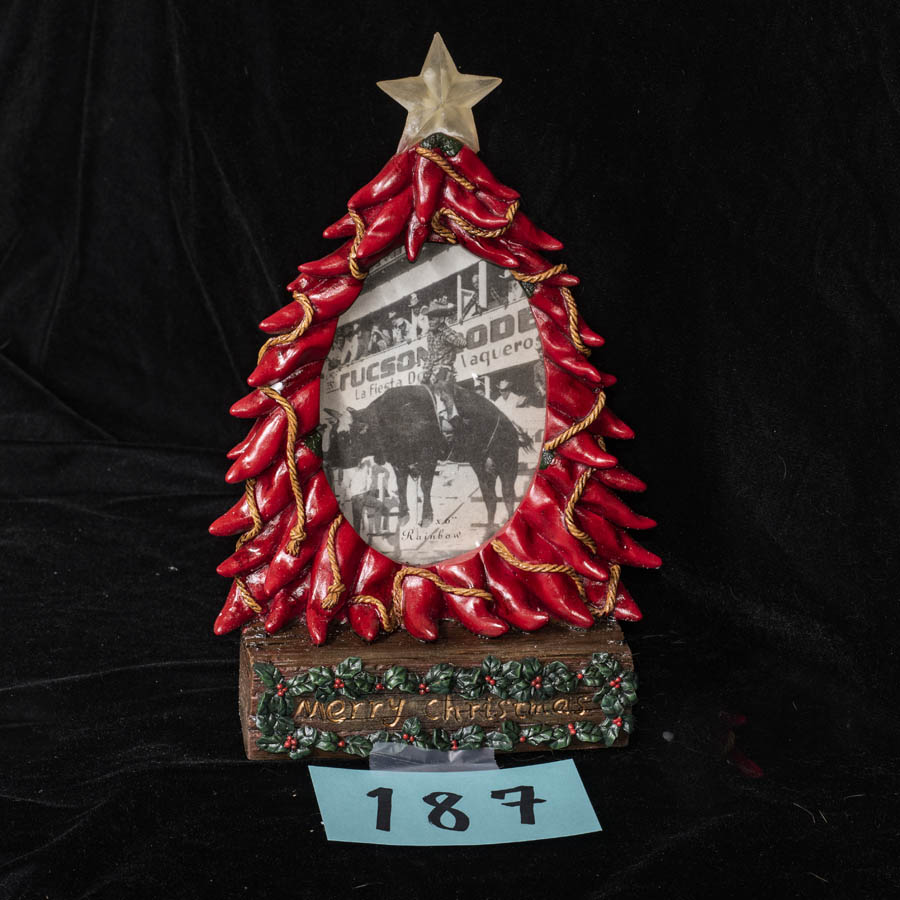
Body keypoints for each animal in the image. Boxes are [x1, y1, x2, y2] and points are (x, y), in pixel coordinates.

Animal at [324, 384, 532, 531]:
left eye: (344, 436)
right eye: (332, 434)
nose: (328, 459)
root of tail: (511, 426)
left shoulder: (428, 458)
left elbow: (425, 485)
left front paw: (426, 517)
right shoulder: (399, 462)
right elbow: (401, 485)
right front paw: (404, 514)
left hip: (507, 462)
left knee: (508, 495)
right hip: (482, 466)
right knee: (490, 499)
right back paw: (488, 529)